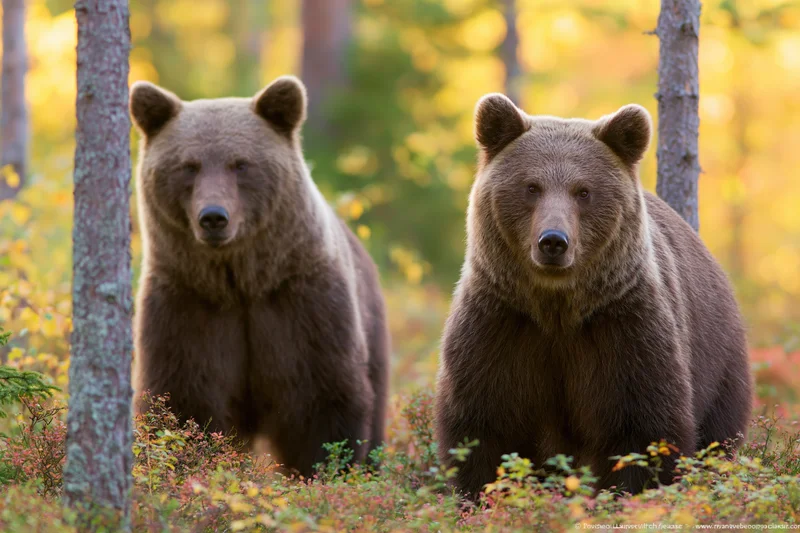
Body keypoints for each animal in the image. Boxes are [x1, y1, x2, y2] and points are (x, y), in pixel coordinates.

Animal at [129, 76, 391, 476]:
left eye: (241, 164)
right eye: (188, 166)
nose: (213, 217)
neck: (241, 282)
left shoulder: (301, 303)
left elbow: (322, 402)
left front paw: (322, 470)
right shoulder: (188, 303)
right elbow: (184, 399)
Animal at [434, 94, 753, 498]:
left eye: (583, 191)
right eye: (531, 187)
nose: (553, 241)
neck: (556, 308)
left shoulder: (621, 327)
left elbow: (641, 429)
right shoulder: (502, 324)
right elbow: (483, 426)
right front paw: (479, 493)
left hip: (719, 362)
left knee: (717, 437)